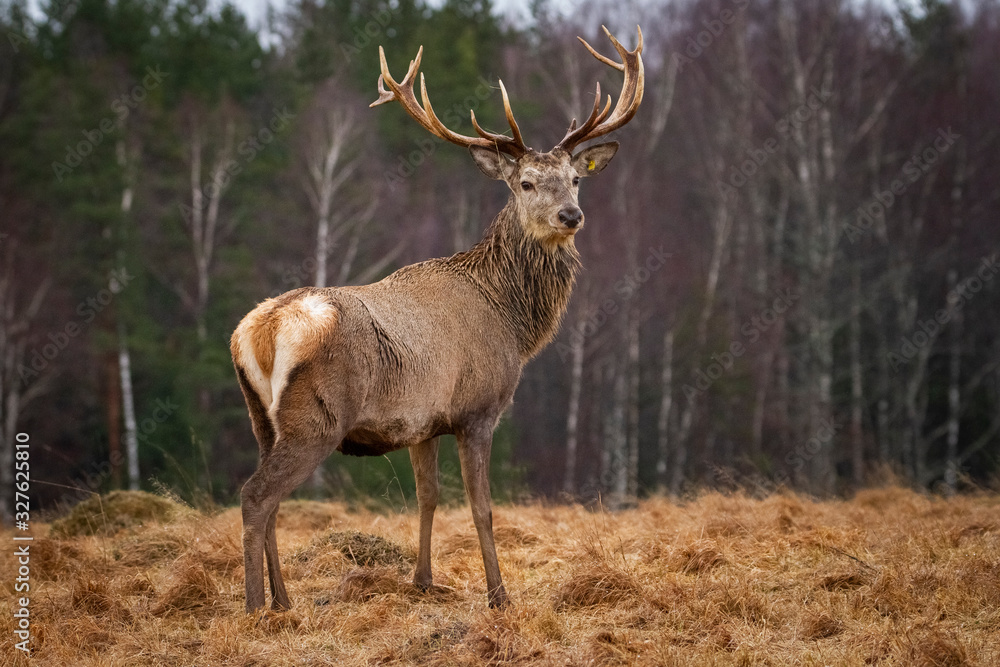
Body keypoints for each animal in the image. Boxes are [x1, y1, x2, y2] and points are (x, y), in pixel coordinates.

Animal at [231, 25, 644, 613]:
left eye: (575, 179)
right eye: (525, 183)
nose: (571, 216)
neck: (512, 320)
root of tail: (260, 332)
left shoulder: (422, 422)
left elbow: (426, 498)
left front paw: (424, 580)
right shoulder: (477, 410)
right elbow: (481, 508)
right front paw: (499, 596)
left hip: (260, 417)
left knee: (269, 498)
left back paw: (283, 601)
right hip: (316, 417)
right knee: (256, 495)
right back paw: (254, 606)